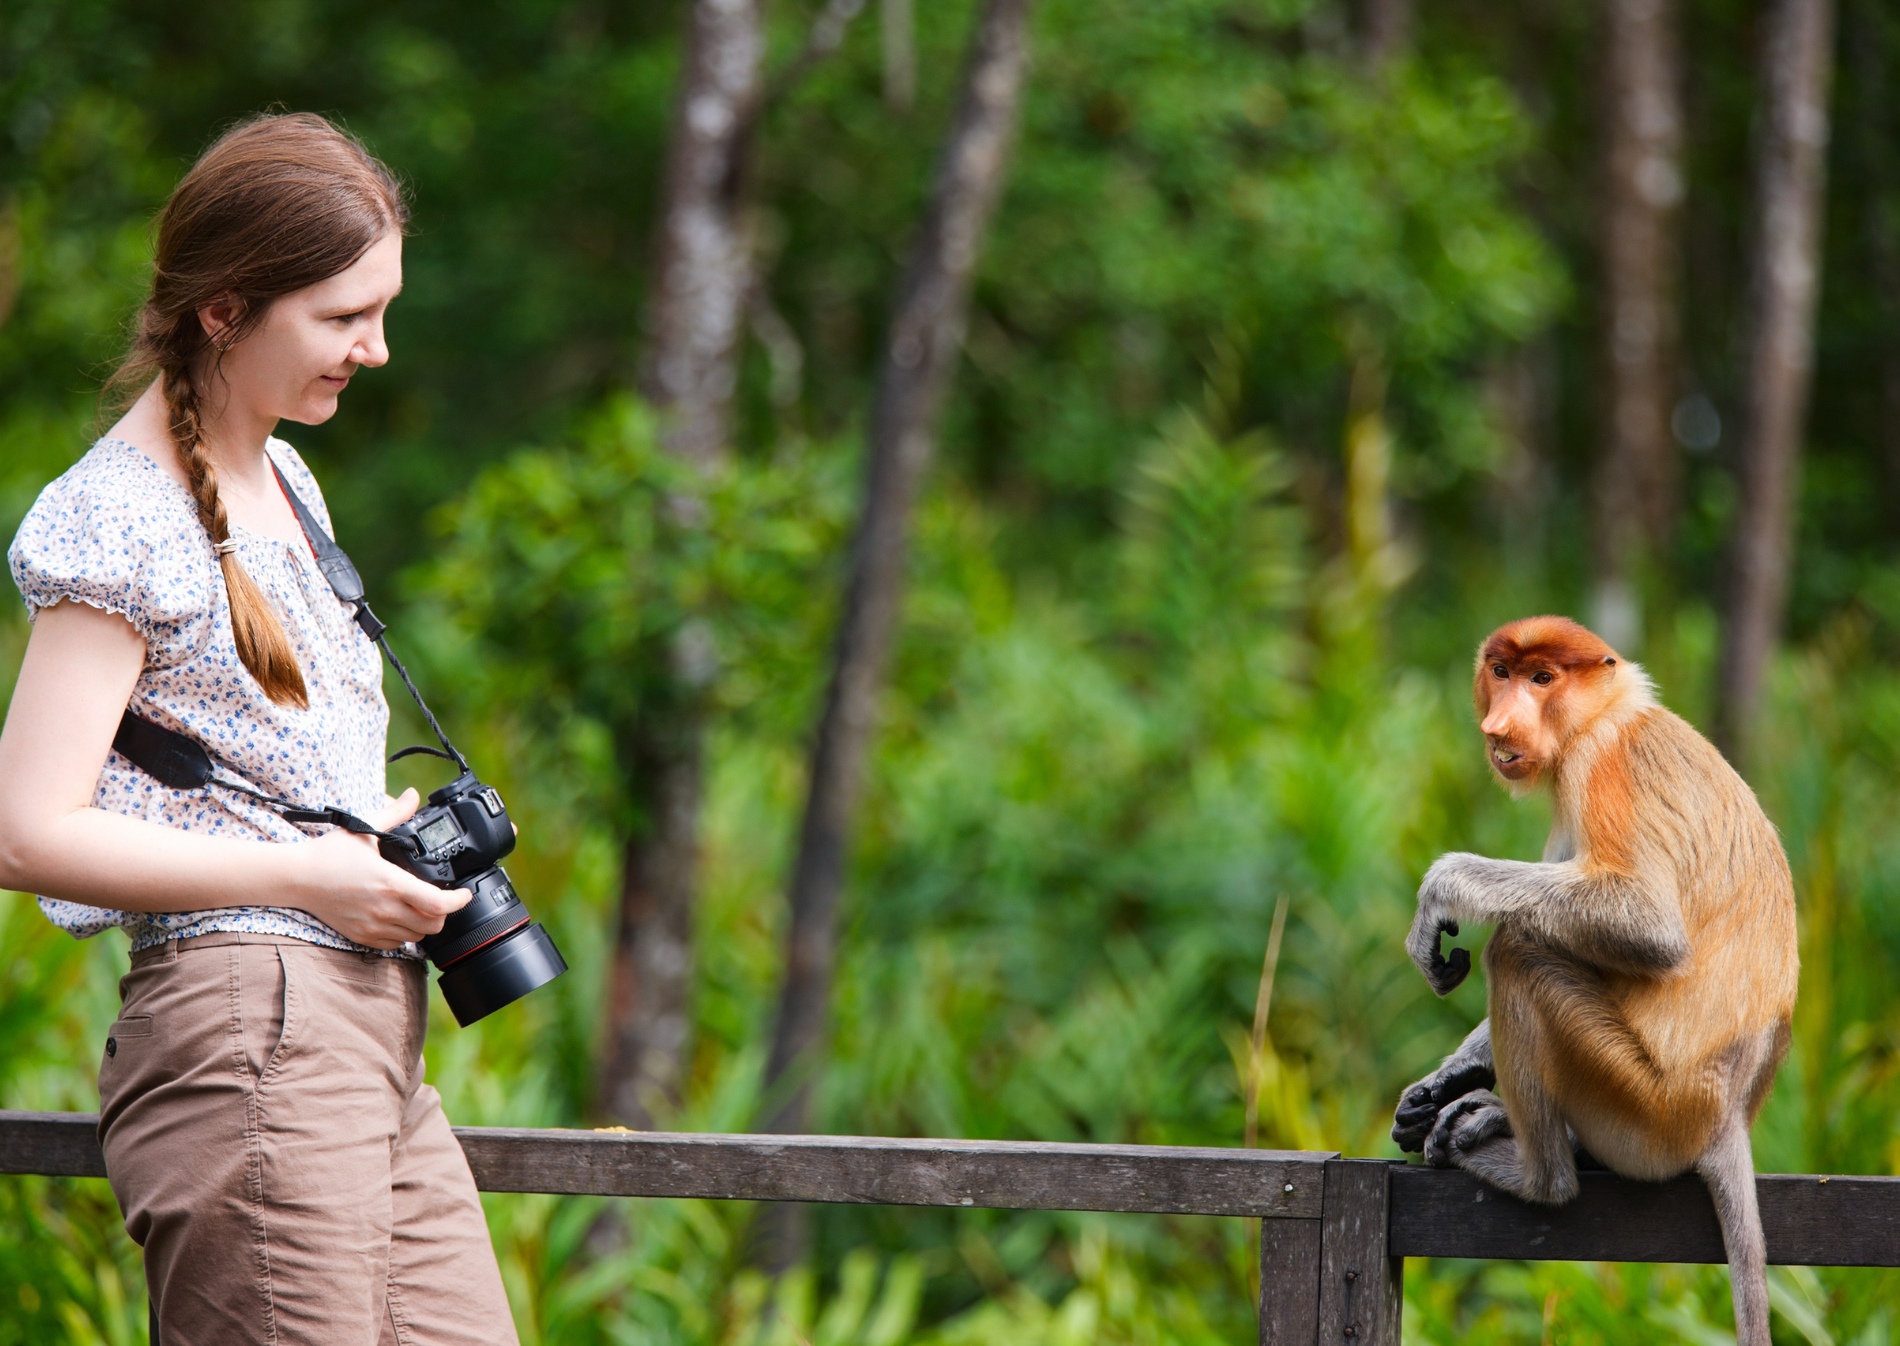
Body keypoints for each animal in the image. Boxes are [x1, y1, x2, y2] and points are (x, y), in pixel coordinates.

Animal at [1390, 616, 1797, 1346]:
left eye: (1543, 678)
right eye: (1502, 672)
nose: (1500, 723)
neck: (1603, 715)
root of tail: (1726, 1115)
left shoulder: (1601, 766)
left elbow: (1649, 927)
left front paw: (1442, 889)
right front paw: (1438, 1085)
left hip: (1642, 1105)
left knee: (1520, 950)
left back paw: (1535, 1174)